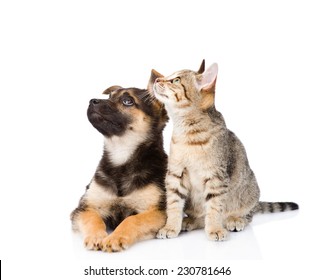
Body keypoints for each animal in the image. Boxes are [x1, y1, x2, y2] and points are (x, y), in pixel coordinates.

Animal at [70, 79, 168, 252]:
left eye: (127, 101)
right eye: (109, 96)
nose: (92, 101)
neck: (121, 156)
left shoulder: (157, 212)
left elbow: (132, 220)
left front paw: (115, 237)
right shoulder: (84, 208)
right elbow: (93, 219)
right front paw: (96, 236)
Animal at [150, 60, 298, 241]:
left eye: (176, 80)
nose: (157, 80)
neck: (187, 133)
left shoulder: (216, 177)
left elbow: (214, 206)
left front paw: (214, 228)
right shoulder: (175, 174)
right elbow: (173, 204)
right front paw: (170, 226)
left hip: (250, 190)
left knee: (248, 214)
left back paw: (234, 219)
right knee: (201, 217)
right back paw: (190, 221)